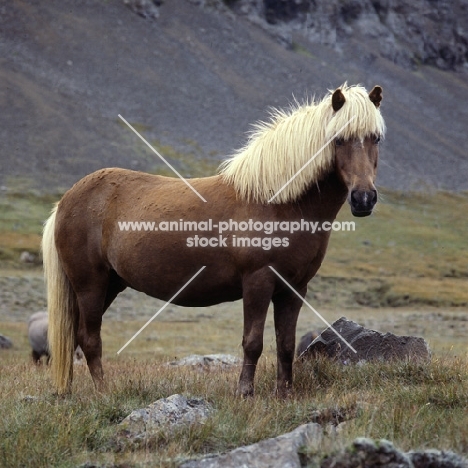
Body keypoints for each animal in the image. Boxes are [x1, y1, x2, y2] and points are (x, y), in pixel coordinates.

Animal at [41, 83, 384, 394]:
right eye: (338, 139)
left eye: (376, 138)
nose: (363, 198)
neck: (277, 202)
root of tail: (66, 200)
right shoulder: (258, 282)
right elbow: (253, 342)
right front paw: (245, 393)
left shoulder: (295, 288)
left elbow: (285, 343)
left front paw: (284, 394)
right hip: (90, 284)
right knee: (90, 339)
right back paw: (103, 393)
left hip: (109, 284)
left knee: (75, 336)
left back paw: (67, 392)